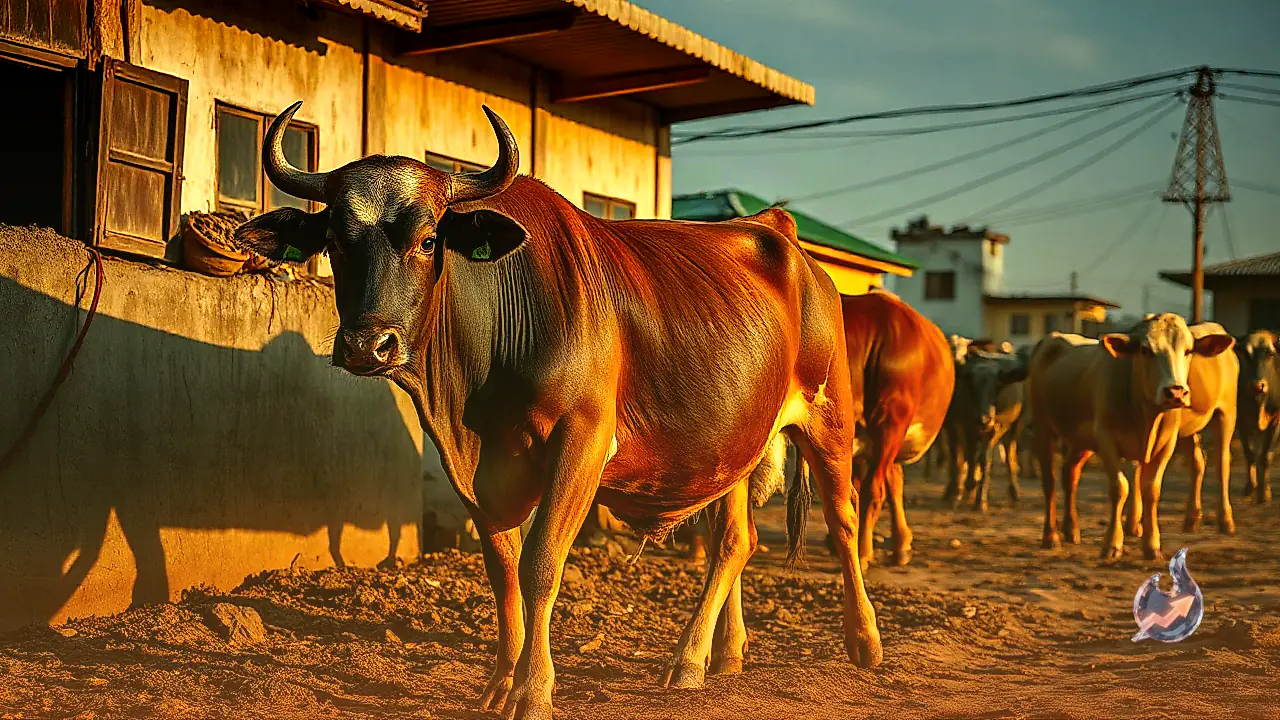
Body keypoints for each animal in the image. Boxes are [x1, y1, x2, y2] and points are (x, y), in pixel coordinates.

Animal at [234, 102, 881, 719]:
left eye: (427, 240)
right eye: (336, 243)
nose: (369, 345)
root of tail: (776, 229)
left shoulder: (583, 441)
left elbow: (540, 563)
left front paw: (534, 690)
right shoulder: (475, 471)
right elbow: (502, 569)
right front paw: (499, 684)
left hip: (829, 419)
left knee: (842, 521)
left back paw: (863, 642)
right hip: (735, 446)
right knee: (735, 541)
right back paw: (710, 656)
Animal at [1026, 315, 1234, 561]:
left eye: (1189, 350)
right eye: (1145, 349)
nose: (1175, 392)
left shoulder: (1167, 442)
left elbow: (1151, 489)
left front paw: (1152, 545)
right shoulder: (1106, 438)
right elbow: (1120, 487)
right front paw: (1112, 544)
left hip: (1226, 413)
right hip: (1043, 427)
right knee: (1050, 481)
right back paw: (1051, 537)